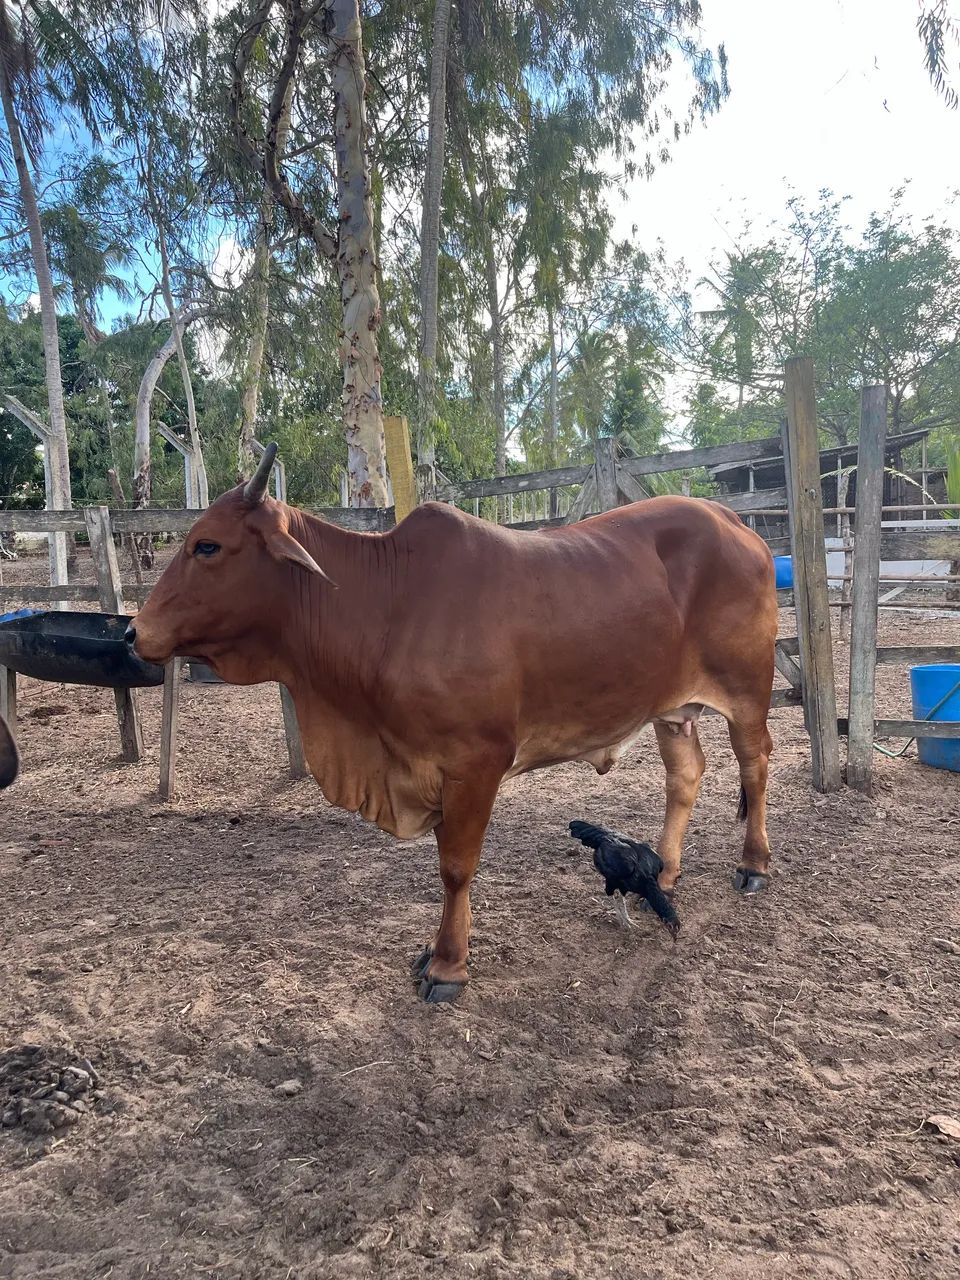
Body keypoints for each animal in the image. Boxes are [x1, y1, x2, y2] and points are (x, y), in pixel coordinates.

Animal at [128, 445, 777, 1003]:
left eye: (208, 546)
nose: (134, 631)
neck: (385, 606)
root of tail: (733, 520)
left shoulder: (475, 764)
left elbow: (456, 868)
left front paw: (447, 965)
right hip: (672, 709)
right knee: (685, 776)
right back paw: (663, 876)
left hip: (748, 691)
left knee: (755, 764)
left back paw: (753, 866)